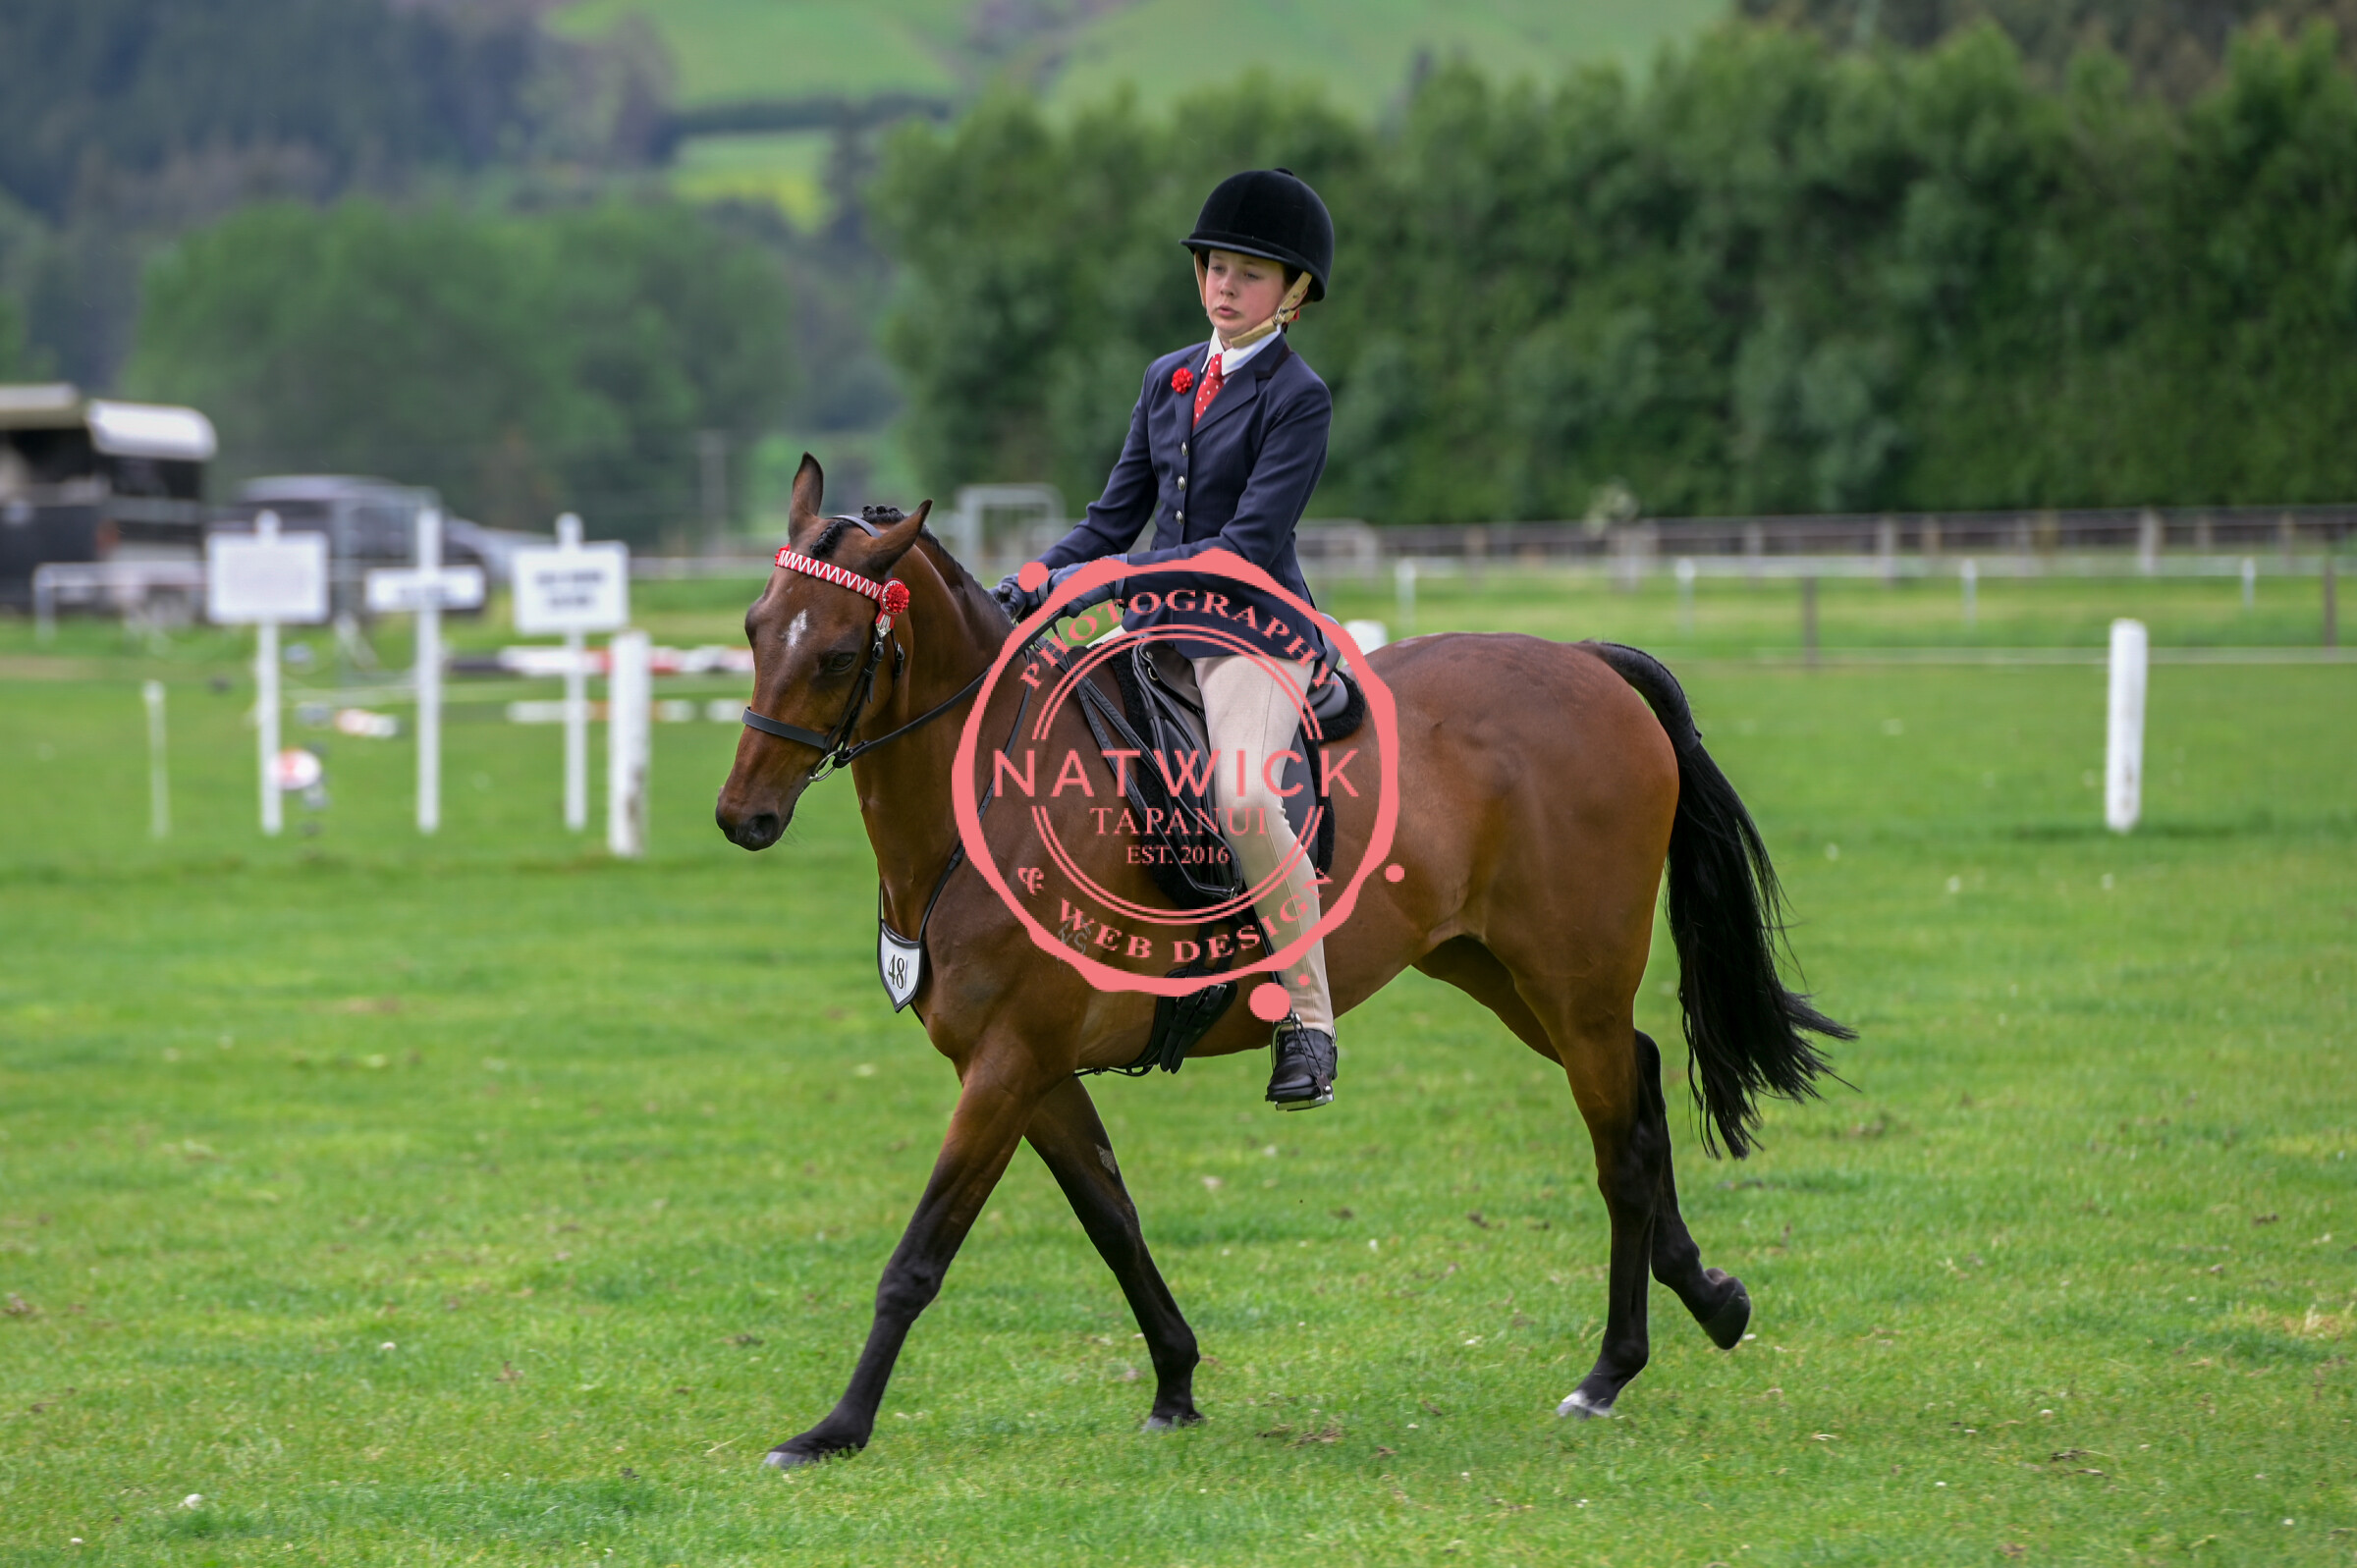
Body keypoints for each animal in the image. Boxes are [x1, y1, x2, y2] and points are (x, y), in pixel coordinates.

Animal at [715, 456, 1849, 1466]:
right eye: (755, 629)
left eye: (839, 653)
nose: (742, 818)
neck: (993, 802)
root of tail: (1584, 659)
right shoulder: (1025, 1070)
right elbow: (1113, 1217)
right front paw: (1175, 1382)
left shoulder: (1009, 1063)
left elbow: (920, 1254)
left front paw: (833, 1430)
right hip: (1502, 973)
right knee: (1643, 1084)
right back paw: (1707, 1300)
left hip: (1572, 979)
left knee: (1621, 1142)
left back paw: (1610, 1369)